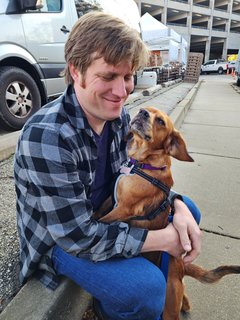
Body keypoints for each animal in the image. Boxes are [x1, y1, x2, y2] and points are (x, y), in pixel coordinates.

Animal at [96, 107, 240, 318]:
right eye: (146, 111)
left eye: (161, 122)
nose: (142, 111)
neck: (142, 164)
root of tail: (179, 267)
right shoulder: (112, 199)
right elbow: (98, 212)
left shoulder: (124, 208)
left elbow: (102, 220)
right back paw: (186, 304)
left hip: (169, 305)